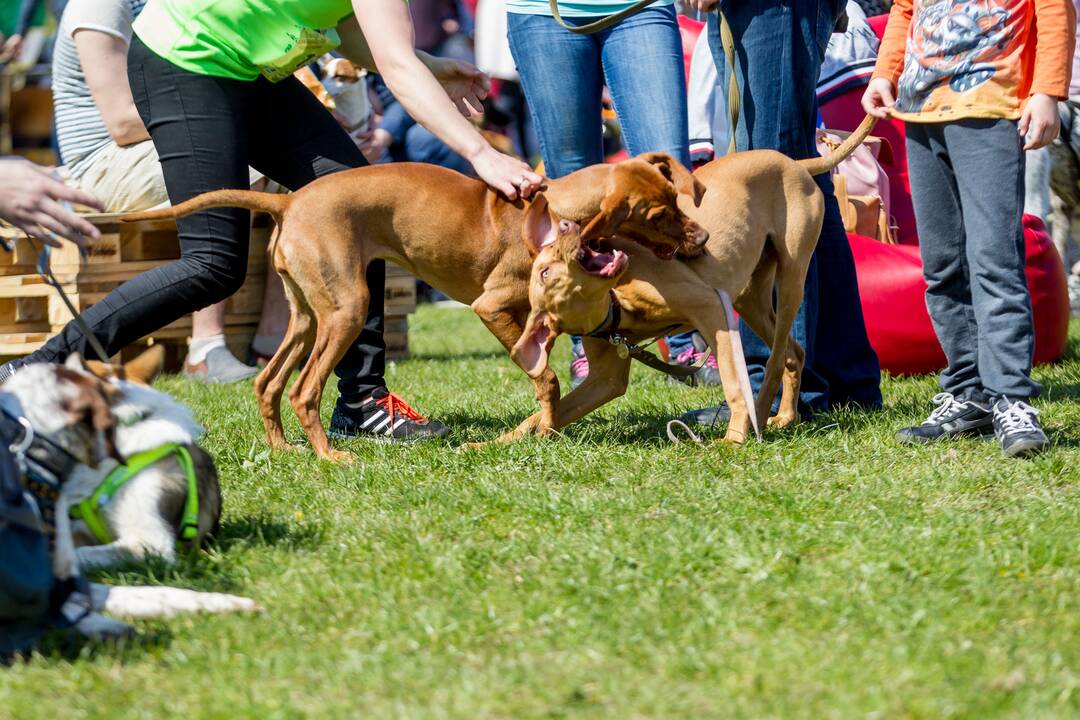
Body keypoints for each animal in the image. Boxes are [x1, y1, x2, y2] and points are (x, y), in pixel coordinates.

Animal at [124, 158, 708, 462]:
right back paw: (329, 457)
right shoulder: (491, 307)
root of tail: (288, 200)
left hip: (308, 315)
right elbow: (546, 378)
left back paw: (286, 450)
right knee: (303, 389)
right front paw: (545, 429)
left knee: (268, 382)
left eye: (676, 200)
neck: (555, 207)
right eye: (658, 215)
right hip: (347, 310)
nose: (702, 237)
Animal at [507, 115, 876, 442]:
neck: (616, 304)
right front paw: (507, 439)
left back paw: (759, 418)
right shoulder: (605, 379)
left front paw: (734, 437)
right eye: (543, 271)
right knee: (791, 353)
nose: (703, 242)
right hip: (750, 298)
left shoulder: (710, 308)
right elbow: (548, 412)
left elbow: (732, 380)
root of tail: (797, 162)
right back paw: (782, 416)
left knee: (773, 361)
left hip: (790, 281)